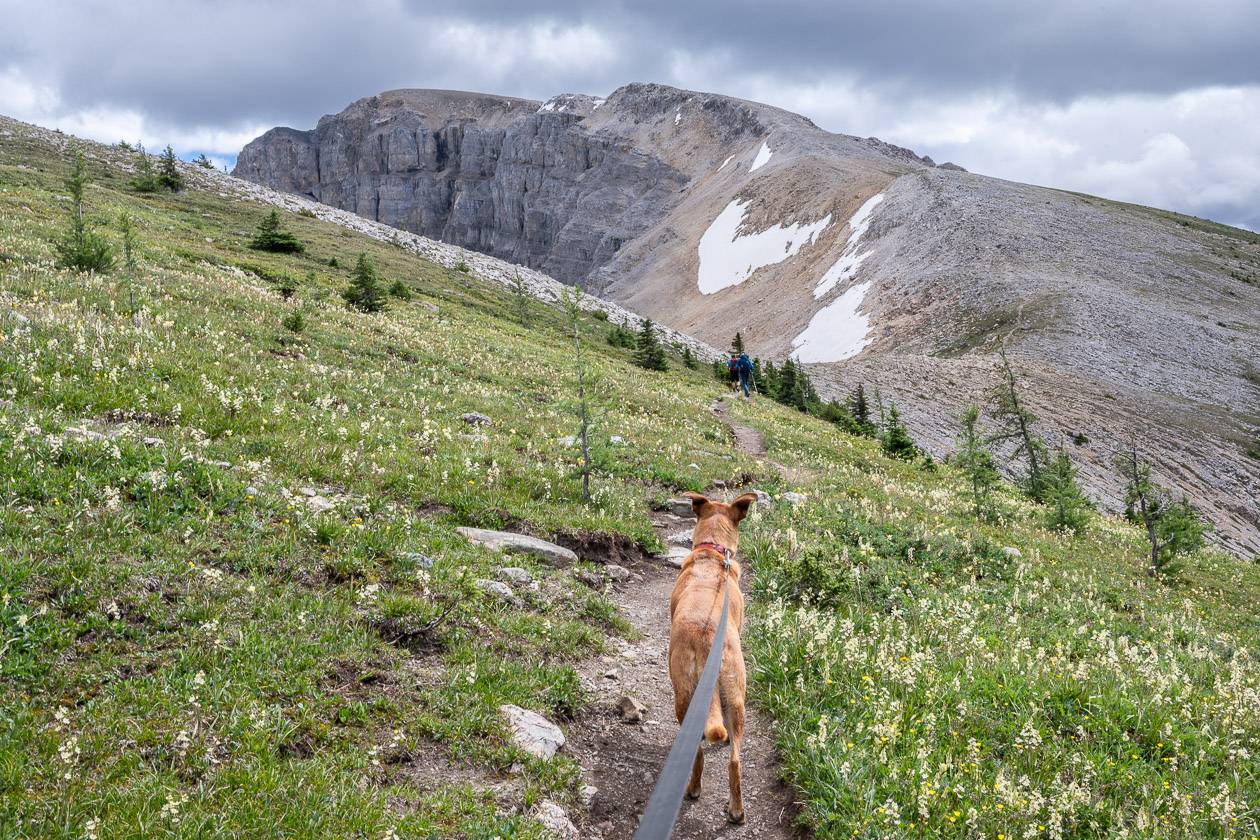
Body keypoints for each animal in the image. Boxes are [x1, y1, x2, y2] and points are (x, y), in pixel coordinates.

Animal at [670, 488, 756, 826]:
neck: (713, 552)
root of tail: (708, 637)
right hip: (736, 695)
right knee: (734, 760)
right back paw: (737, 811)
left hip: (684, 696)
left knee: (698, 752)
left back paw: (693, 788)